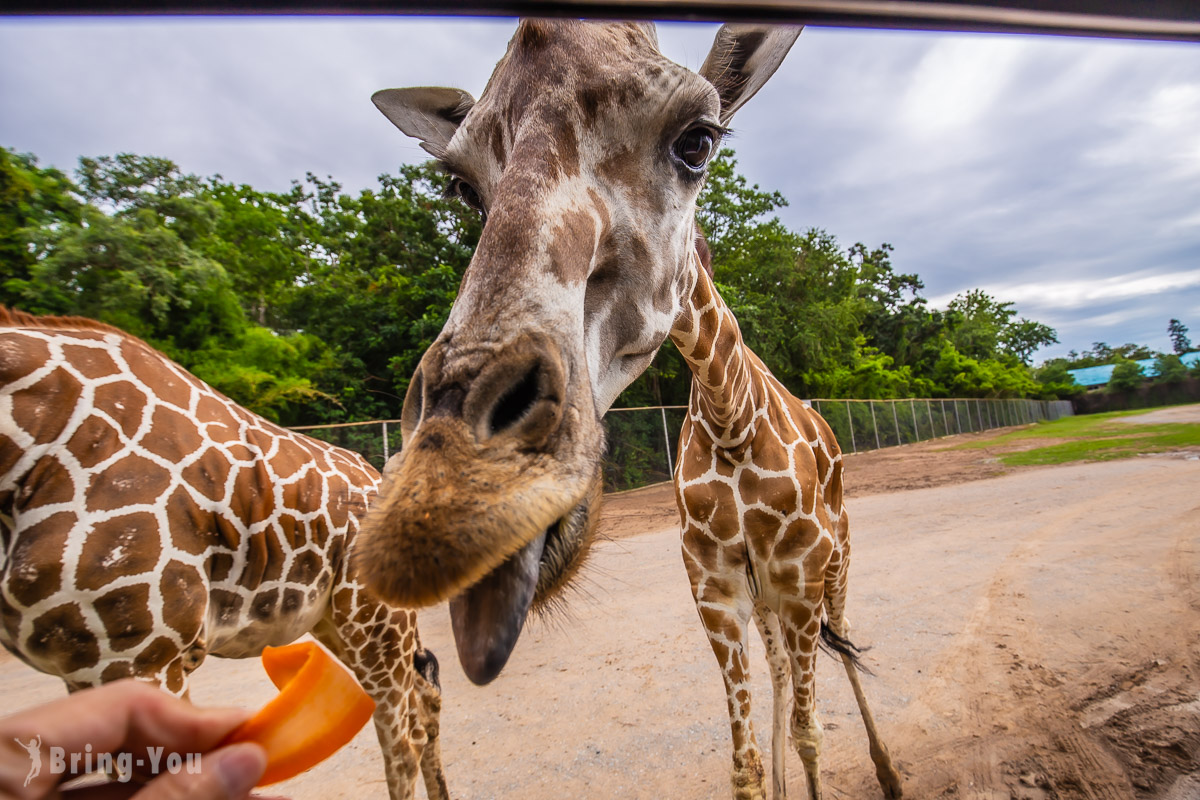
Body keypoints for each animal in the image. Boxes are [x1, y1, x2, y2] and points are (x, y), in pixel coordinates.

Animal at [0, 307, 448, 800]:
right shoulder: (85, 669)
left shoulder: (141, 655)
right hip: (339, 619)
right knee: (423, 702)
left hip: (371, 620)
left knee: (405, 736)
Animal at [676, 239, 902, 800]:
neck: (730, 418)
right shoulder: (717, 593)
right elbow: (745, 767)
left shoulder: (802, 584)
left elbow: (810, 732)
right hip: (765, 598)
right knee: (779, 668)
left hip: (837, 561)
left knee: (843, 637)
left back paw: (889, 774)